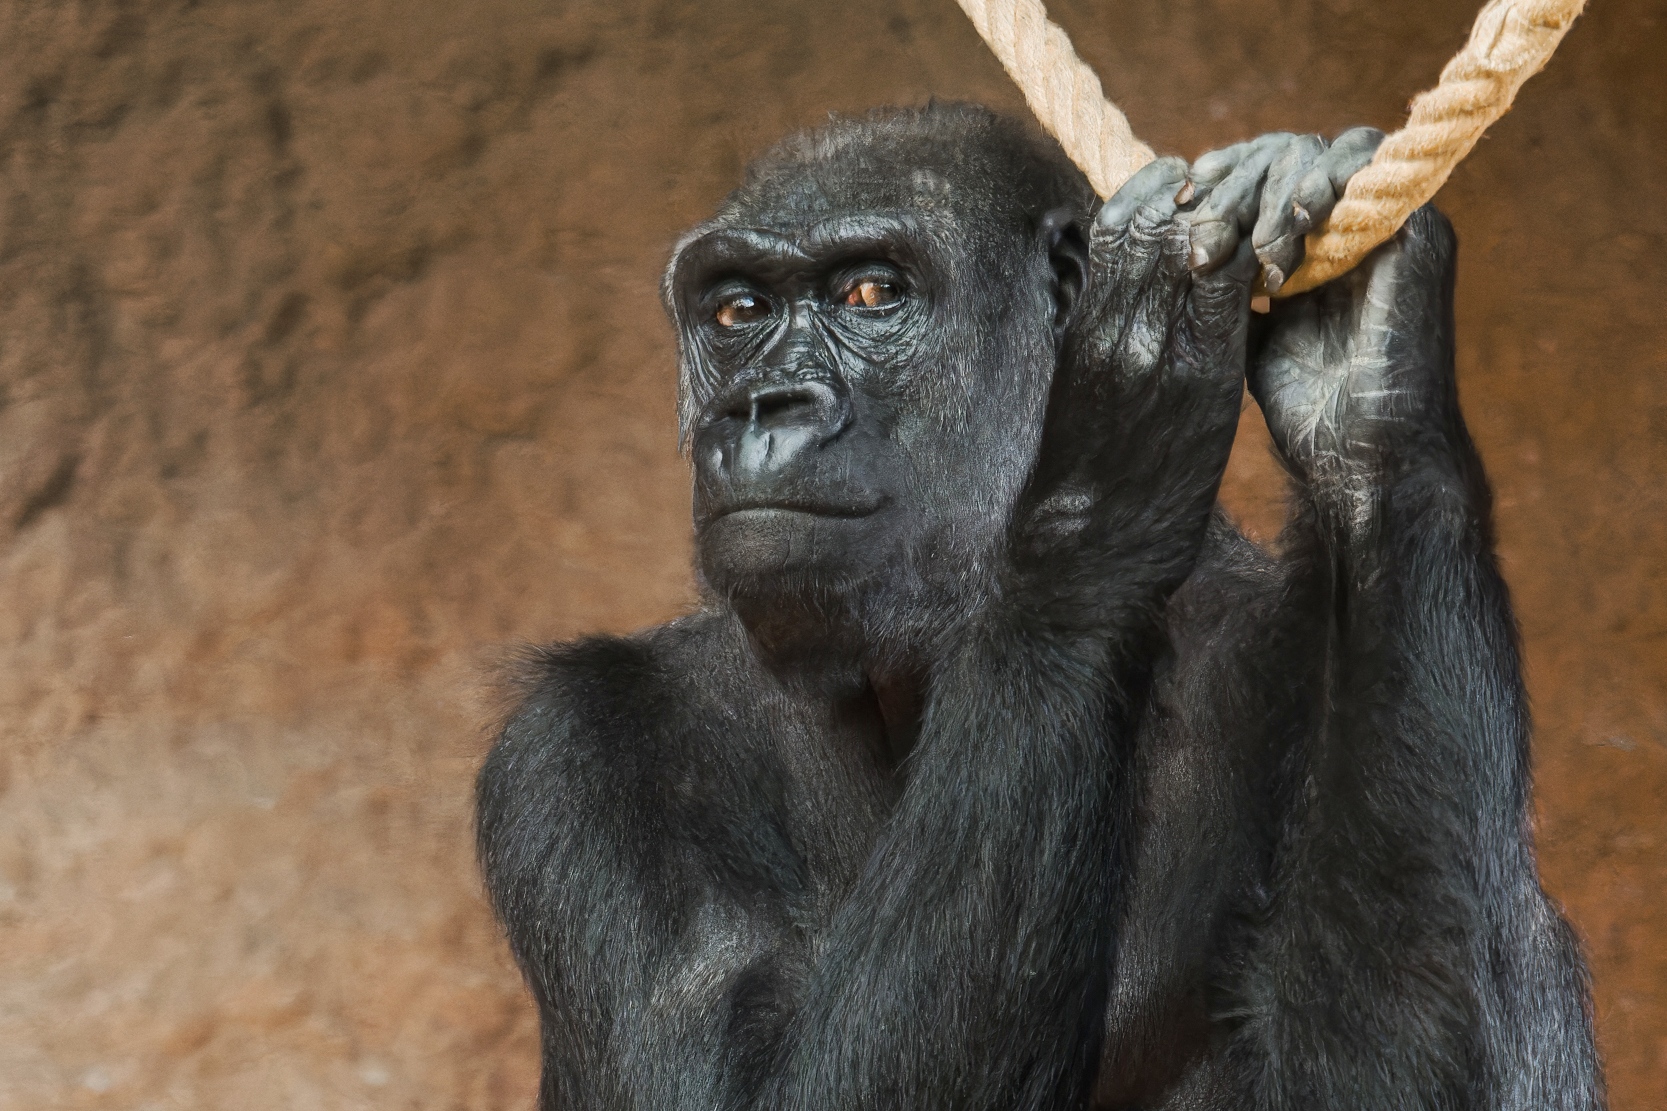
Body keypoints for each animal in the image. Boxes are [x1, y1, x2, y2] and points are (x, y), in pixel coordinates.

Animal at [473, 103, 1600, 1107]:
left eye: (871, 292)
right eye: (736, 313)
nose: (758, 406)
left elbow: (1394, 1069)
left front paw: (1371, 382)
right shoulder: (570, 758)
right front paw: (1109, 459)